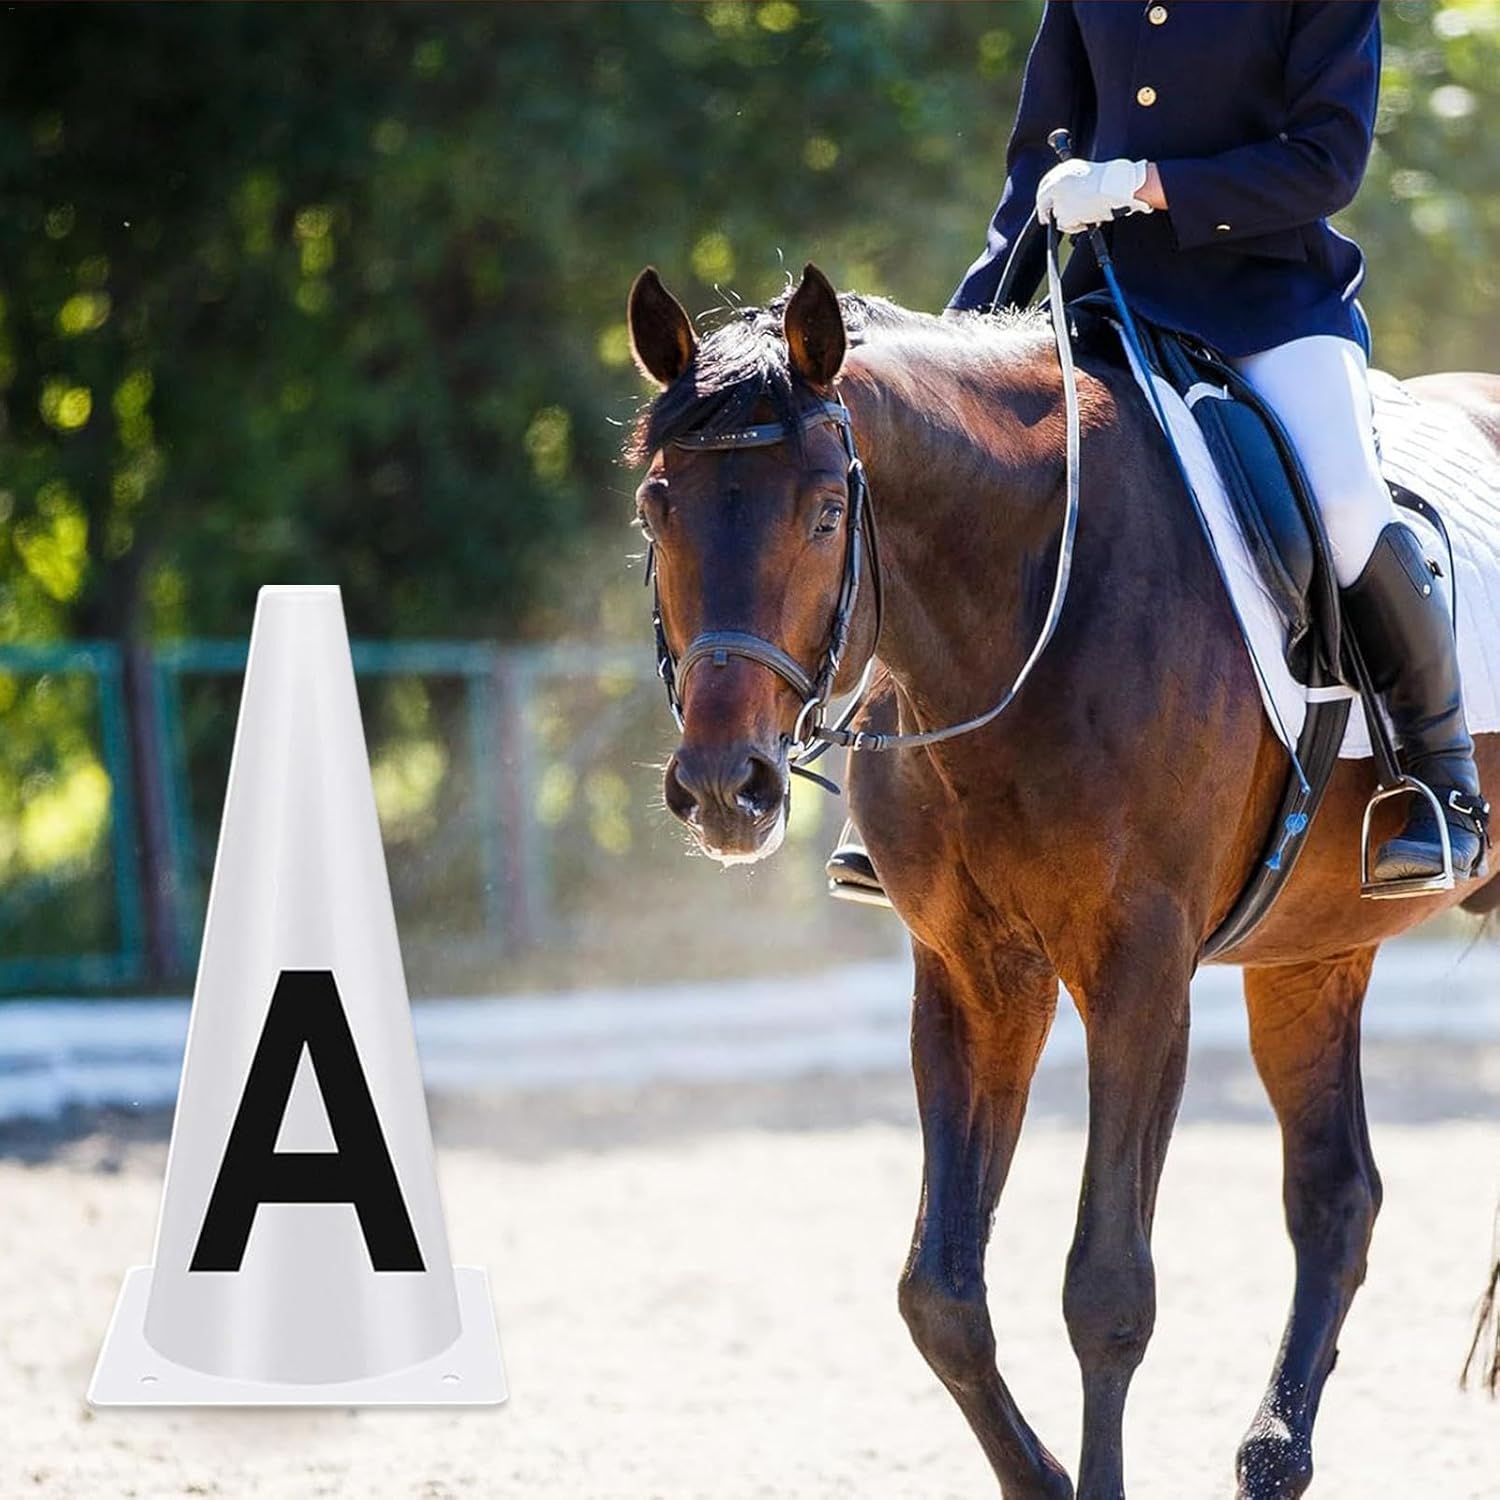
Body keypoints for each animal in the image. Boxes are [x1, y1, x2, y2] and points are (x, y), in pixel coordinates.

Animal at [624, 261, 1500, 1499]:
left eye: (828, 511)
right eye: (656, 506)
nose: (721, 787)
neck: (1023, 601)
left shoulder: (1139, 975)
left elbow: (1107, 1290)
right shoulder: (972, 975)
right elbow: (939, 1294)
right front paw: (1037, 1478)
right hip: (1313, 947)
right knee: (1336, 1196)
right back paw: (1270, 1460)